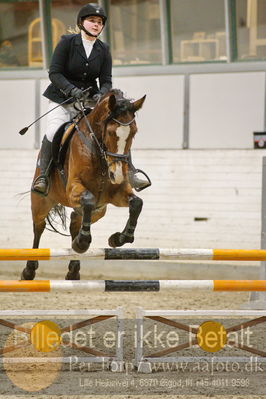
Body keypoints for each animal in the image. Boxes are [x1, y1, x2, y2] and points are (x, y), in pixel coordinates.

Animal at [21, 89, 147, 280]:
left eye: (134, 133)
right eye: (110, 133)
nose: (117, 175)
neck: (99, 153)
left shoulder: (116, 192)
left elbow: (137, 203)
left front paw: (119, 238)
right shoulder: (74, 188)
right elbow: (88, 198)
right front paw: (83, 242)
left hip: (99, 211)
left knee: (75, 221)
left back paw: (74, 269)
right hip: (41, 202)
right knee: (39, 227)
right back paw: (29, 270)